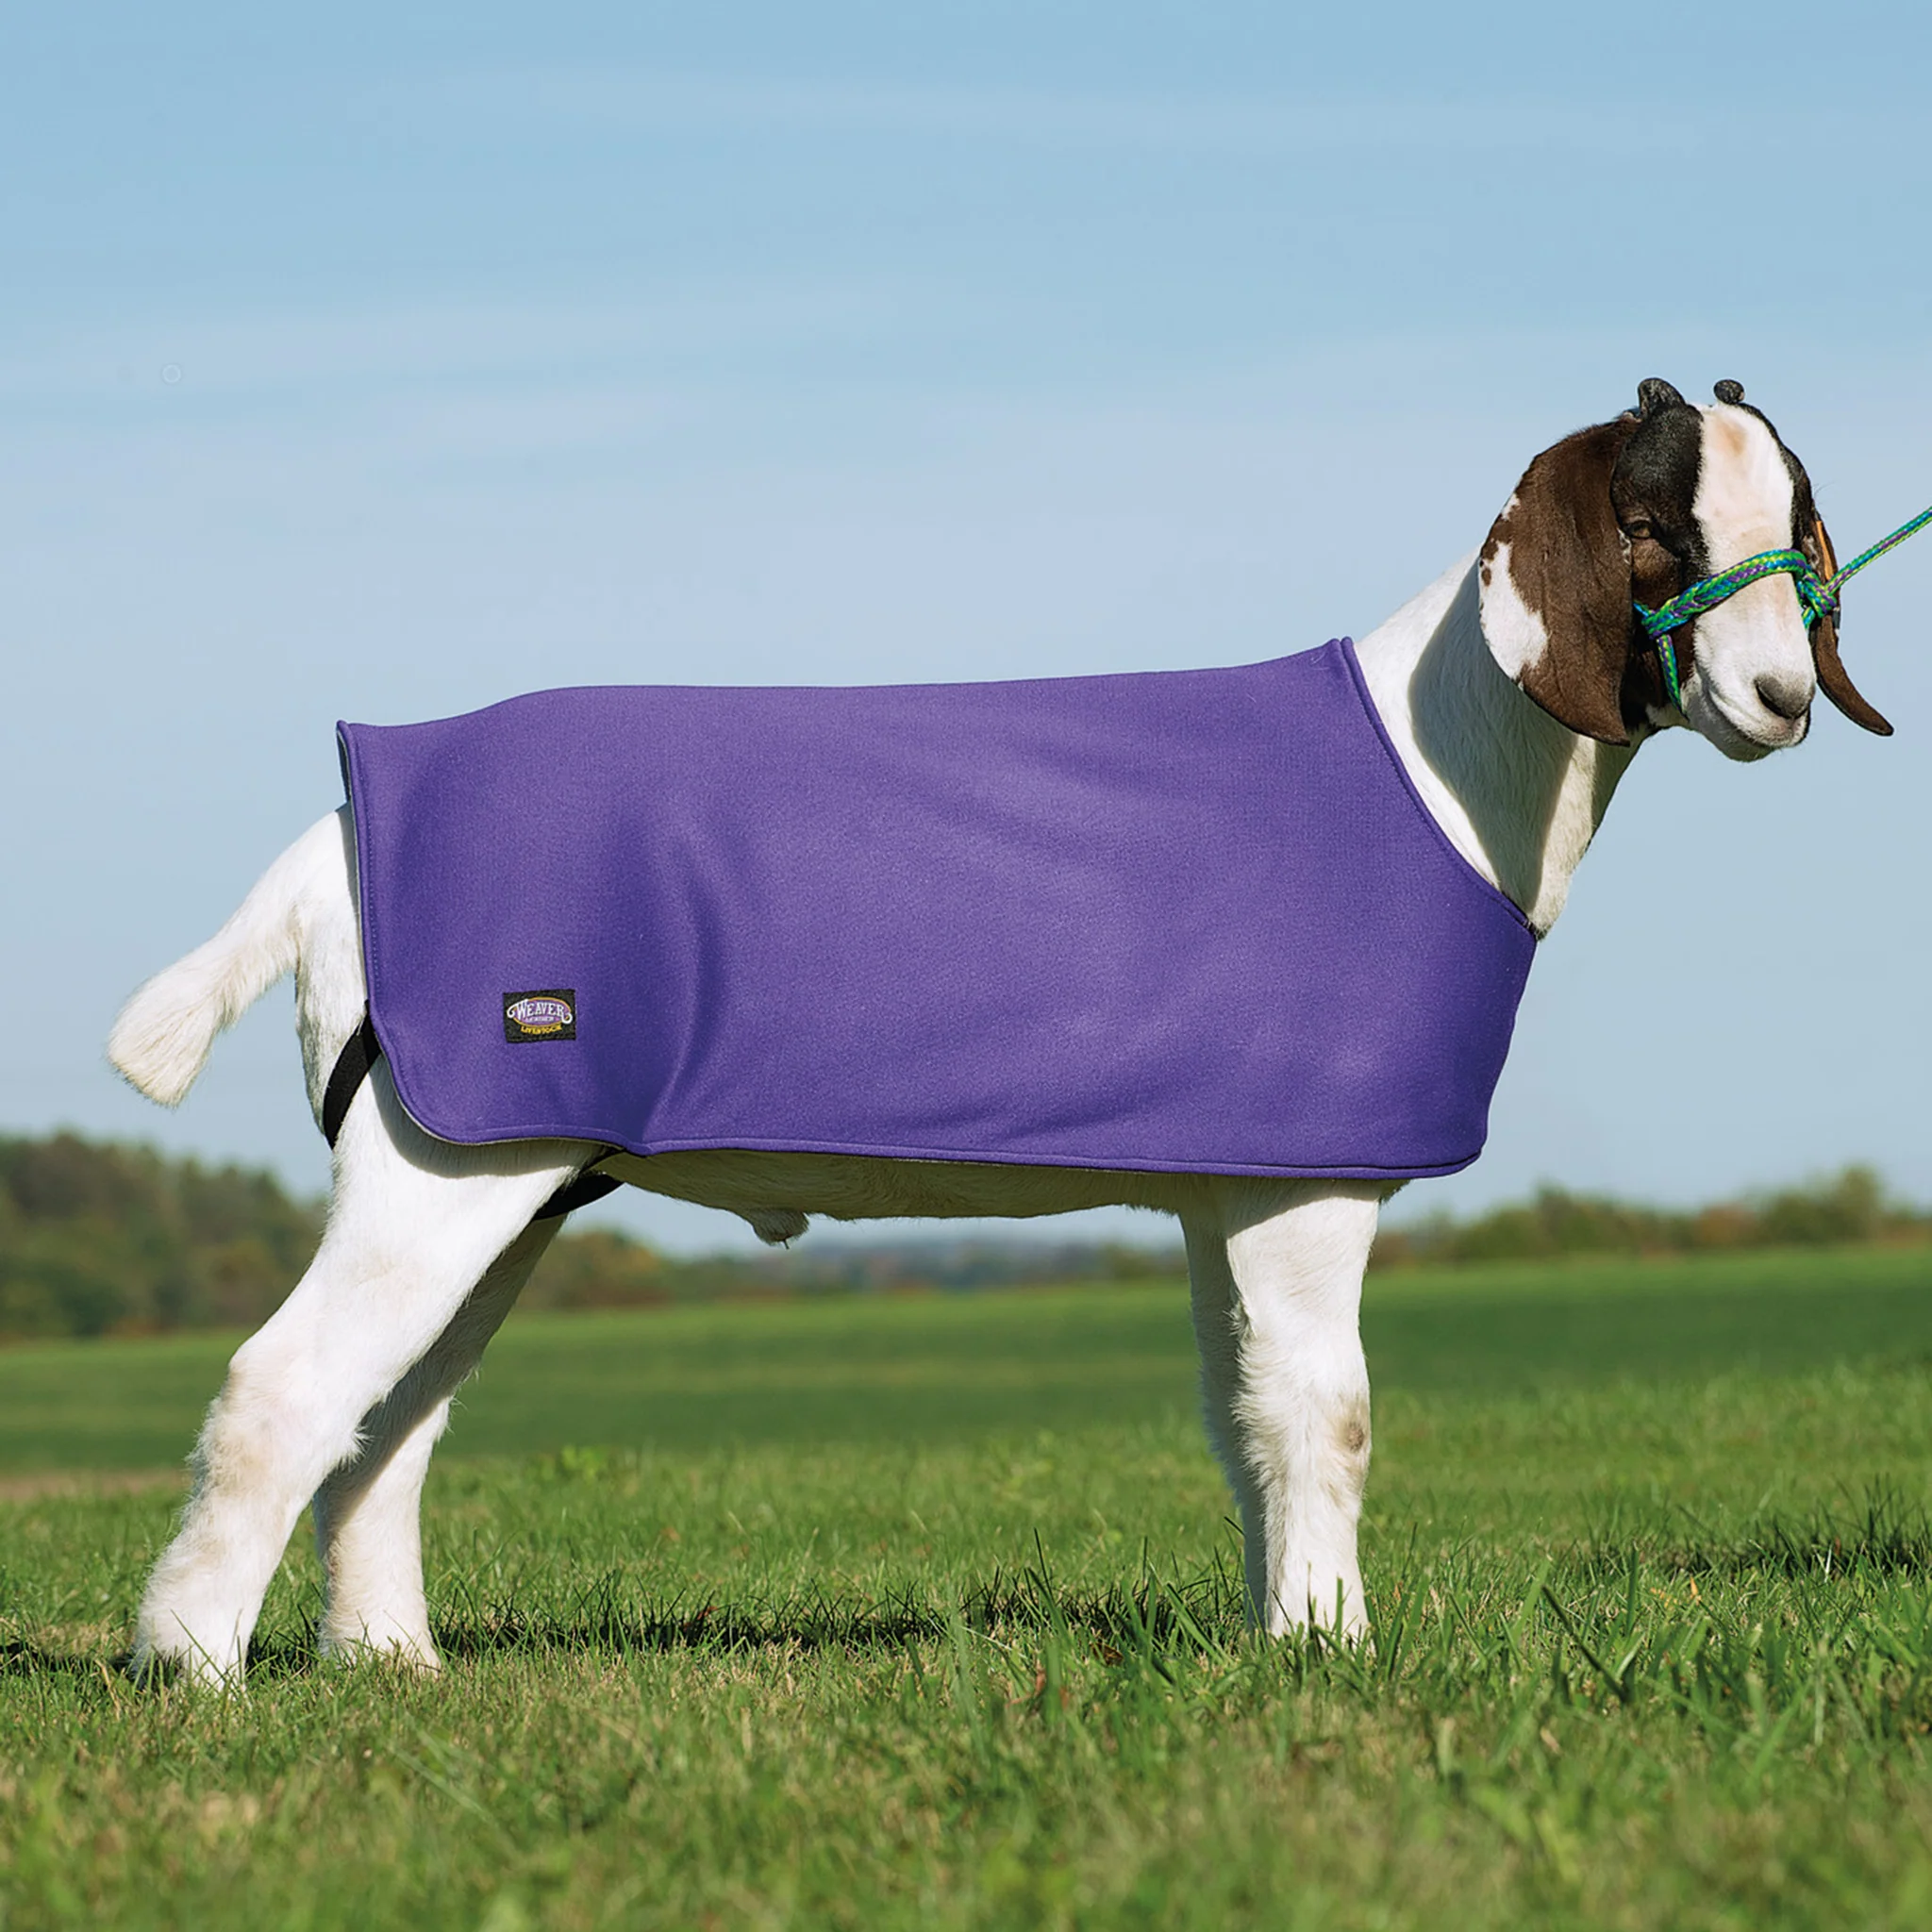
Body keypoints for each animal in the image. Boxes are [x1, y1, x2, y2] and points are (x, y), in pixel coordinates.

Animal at [107, 378, 1890, 1682]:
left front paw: (1277, 1636)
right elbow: (1327, 1413)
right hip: (443, 1163)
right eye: (1647, 524)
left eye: (1797, 531)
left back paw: (388, 1665)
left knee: (389, 1417)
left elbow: (1245, 1417)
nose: (1779, 701)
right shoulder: (1310, 1187)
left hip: (498, 1169)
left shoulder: (1230, 1179)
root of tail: (339, 827)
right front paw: (1336, 1648)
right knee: (284, 1389)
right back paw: (192, 1672)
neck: (1431, 760)